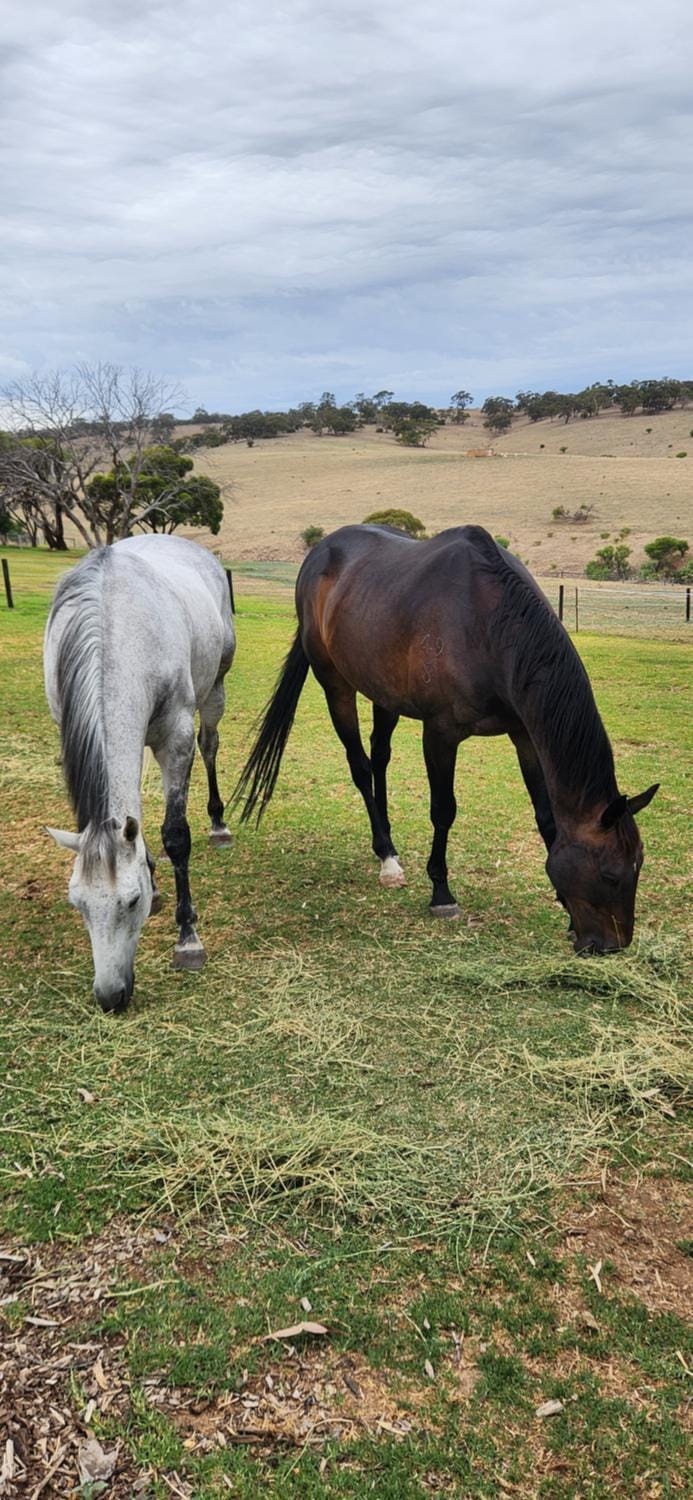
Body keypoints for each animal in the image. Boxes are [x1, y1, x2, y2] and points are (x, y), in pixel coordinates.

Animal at [43, 534, 235, 1011]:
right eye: (77, 904)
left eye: (131, 902)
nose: (109, 997)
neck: (116, 631)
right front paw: (154, 876)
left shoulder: (176, 738)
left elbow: (176, 835)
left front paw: (188, 938)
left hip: (214, 691)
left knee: (209, 746)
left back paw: (219, 823)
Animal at [235, 524, 658, 953]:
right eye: (608, 875)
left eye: (638, 865)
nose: (612, 944)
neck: (488, 625)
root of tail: (319, 552)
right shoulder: (440, 734)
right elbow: (443, 810)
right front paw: (441, 893)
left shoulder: (524, 735)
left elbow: (547, 818)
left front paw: (566, 913)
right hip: (336, 685)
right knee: (360, 766)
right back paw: (386, 855)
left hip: (384, 693)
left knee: (380, 756)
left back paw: (388, 849)